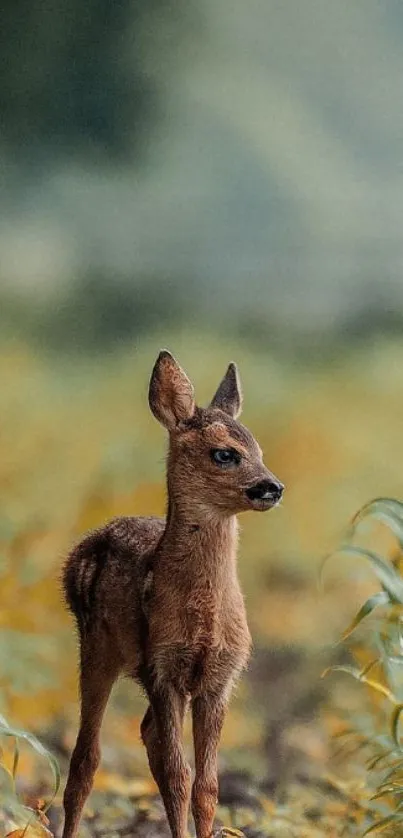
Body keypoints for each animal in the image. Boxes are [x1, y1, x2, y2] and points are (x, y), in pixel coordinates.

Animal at [62, 352, 284, 838]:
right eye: (225, 453)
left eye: (258, 449)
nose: (273, 487)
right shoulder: (162, 666)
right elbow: (178, 775)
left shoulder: (220, 677)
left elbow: (208, 785)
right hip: (96, 647)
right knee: (86, 758)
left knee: (144, 735)